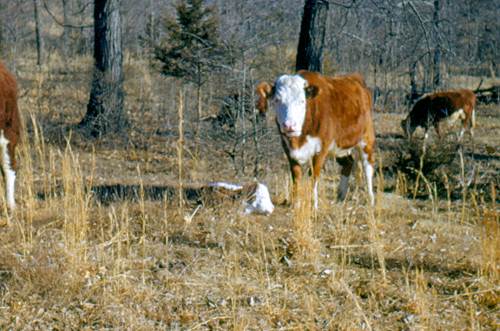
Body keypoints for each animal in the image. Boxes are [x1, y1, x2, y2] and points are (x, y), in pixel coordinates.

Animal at [258, 70, 376, 208]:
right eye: (277, 100)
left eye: (302, 101)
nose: (289, 125)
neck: (299, 139)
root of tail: (355, 78)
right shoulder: (289, 150)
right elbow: (296, 177)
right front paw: (296, 204)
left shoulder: (321, 150)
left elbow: (314, 176)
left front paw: (313, 205)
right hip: (339, 146)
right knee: (348, 163)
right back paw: (341, 196)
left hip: (366, 139)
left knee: (368, 167)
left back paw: (370, 199)